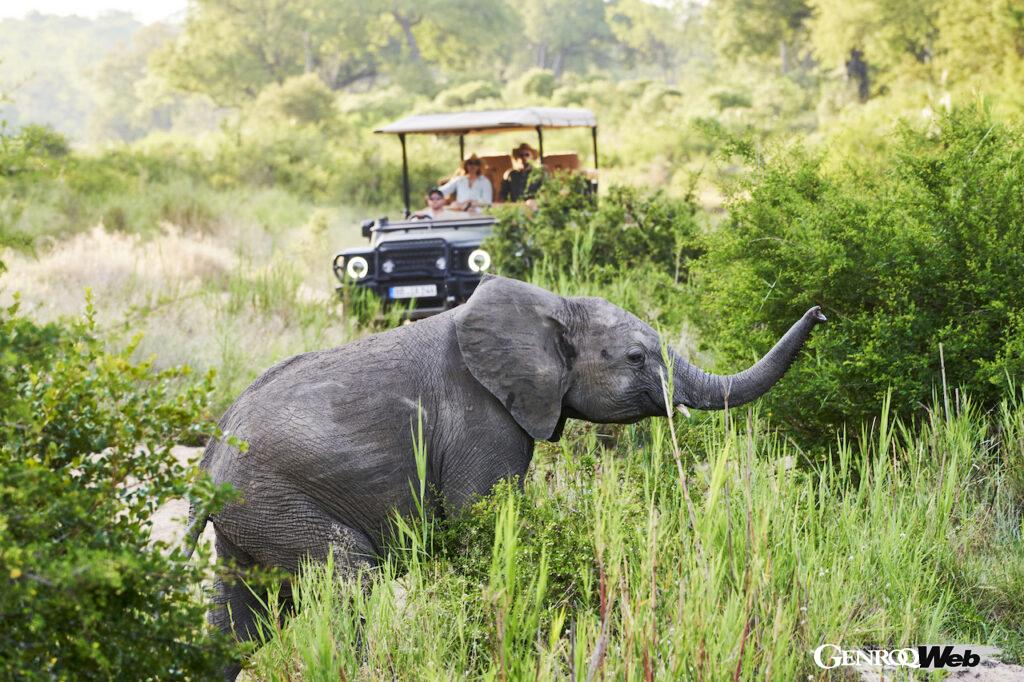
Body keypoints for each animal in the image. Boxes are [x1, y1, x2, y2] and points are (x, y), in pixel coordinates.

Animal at [190, 272, 823, 667]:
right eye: (636, 358)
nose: (821, 310)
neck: (551, 308)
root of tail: (210, 455)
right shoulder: (481, 419)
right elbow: (485, 522)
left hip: (254, 513)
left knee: (239, 625)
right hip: (278, 499)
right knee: (348, 584)